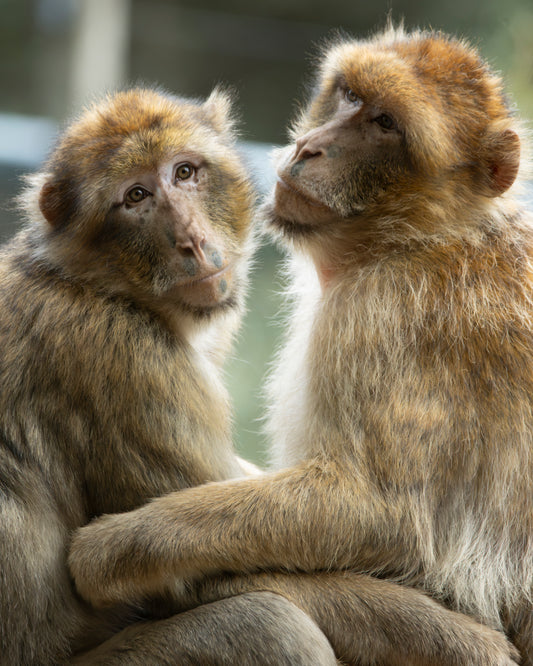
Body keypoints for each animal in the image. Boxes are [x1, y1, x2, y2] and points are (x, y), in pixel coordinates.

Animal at [0, 84, 516, 666]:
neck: (95, 283)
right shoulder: (125, 362)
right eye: (135, 196)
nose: (192, 240)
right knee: (268, 624)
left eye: (185, 172)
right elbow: (192, 580)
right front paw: (465, 644)